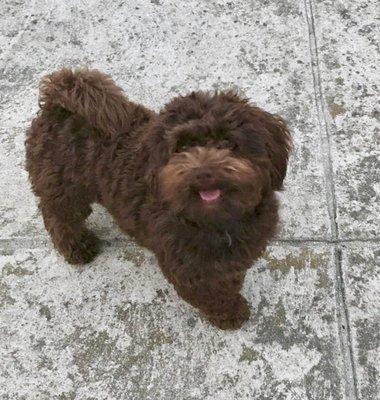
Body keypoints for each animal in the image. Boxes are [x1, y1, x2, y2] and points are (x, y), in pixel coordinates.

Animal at [25, 69, 290, 330]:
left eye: (227, 142)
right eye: (181, 147)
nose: (203, 172)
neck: (216, 220)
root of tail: (57, 102)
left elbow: (231, 274)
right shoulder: (187, 270)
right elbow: (211, 295)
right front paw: (230, 312)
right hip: (64, 189)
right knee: (59, 217)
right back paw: (77, 247)